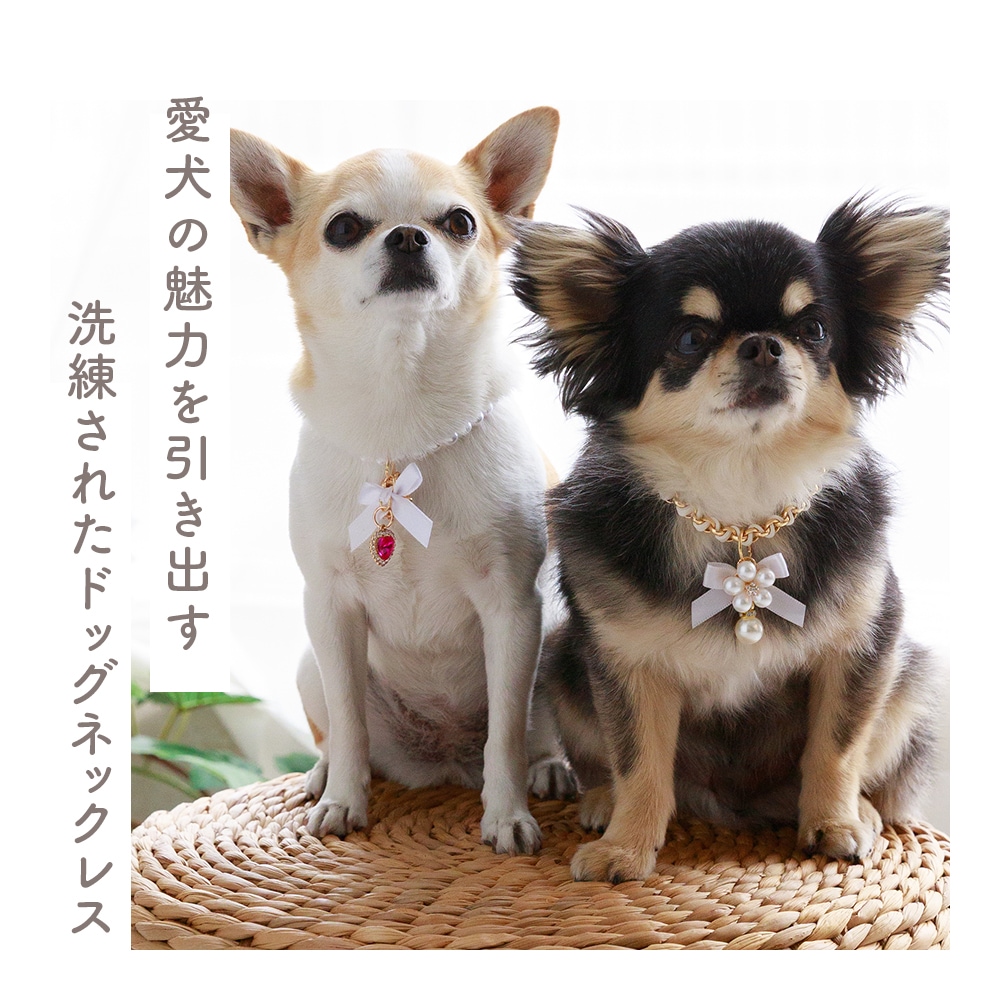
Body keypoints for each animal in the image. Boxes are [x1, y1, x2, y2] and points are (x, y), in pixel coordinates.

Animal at [229, 107, 576, 853]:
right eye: (343, 228)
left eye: (460, 222)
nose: (410, 235)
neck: (402, 416)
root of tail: (442, 758)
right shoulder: (329, 607)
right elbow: (349, 721)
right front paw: (343, 801)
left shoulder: (513, 607)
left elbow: (506, 732)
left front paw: (507, 816)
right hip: (309, 663)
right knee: (343, 727)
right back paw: (324, 775)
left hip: (561, 635)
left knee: (527, 731)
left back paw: (550, 766)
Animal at [511, 197, 949, 881]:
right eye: (690, 337)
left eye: (814, 330)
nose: (764, 344)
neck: (740, 507)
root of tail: (735, 809)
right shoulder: (626, 665)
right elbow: (639, 762)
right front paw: (626, 847)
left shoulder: (862, 644)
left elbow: (836, 745)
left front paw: (833, 822)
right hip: (561, 661)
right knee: (608, 765)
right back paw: (602, 804)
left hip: (910, 679)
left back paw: (863, 811)